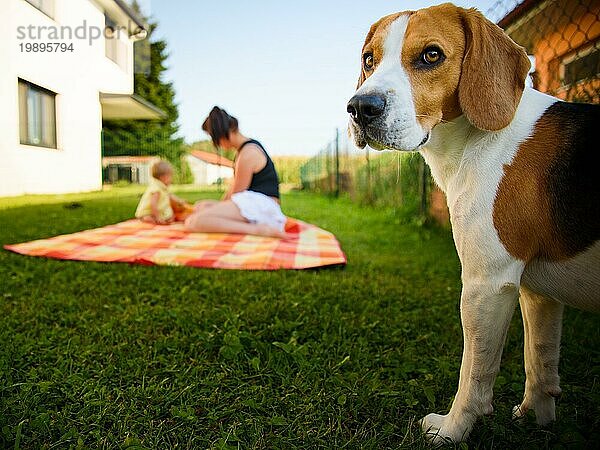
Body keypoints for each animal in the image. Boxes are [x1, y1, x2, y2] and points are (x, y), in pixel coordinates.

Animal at [346, 1, 600, 444]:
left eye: (431, 55)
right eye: (369, 59)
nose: (360, 108)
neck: (477, 140)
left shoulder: (487, 284)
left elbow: (475, 373)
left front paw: (453, 429)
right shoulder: (538, 293)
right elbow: (539, 363)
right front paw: (535, 419)